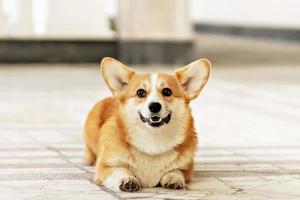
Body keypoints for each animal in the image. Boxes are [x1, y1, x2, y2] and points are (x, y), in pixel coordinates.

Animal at [84, 57, 211, 191]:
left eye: (167, 91)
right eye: (140, 93)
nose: (154, 106)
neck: (153, 139)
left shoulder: (186, 168)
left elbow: (177, 170)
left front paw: (173, 178)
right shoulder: (105, 167)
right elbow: (120, 170)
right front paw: (127, 179)